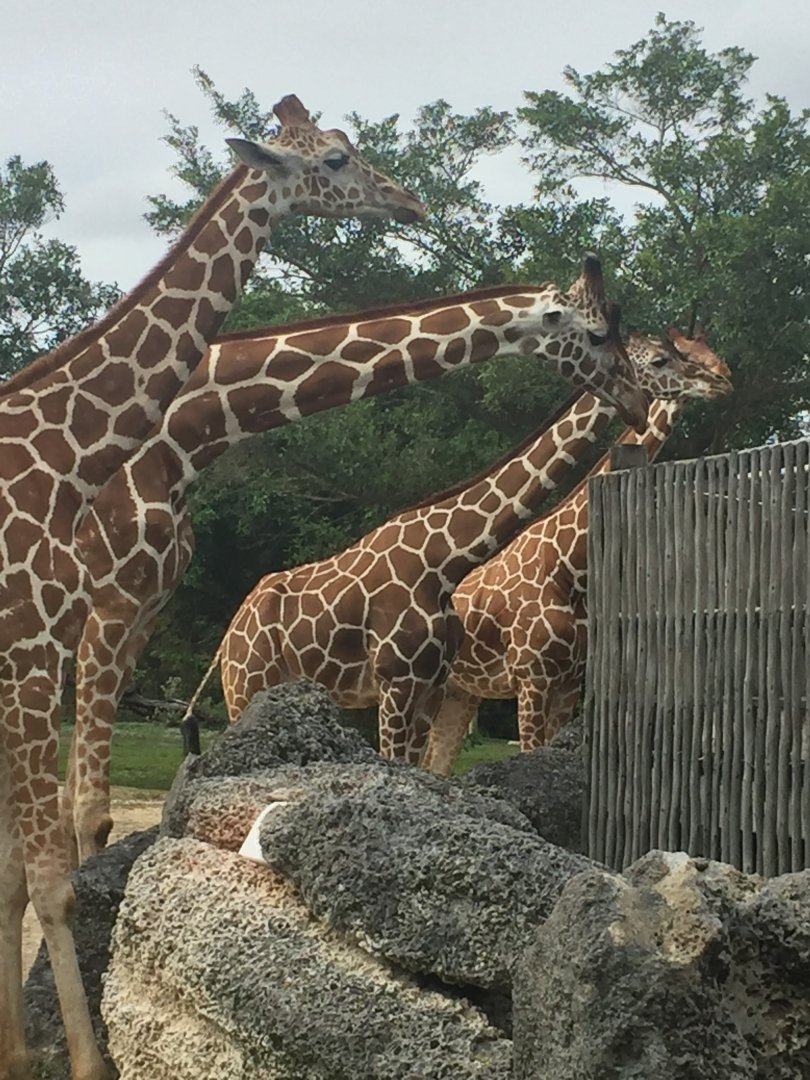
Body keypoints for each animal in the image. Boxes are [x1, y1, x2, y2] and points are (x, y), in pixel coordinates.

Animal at [0, 96, 423, 1080]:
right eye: (335, 158)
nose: (408, 200)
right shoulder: (49, 637)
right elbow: (50, 869)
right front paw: (82, 1061)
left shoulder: (74, 636)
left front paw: (20, 1050)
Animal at [186, 262, 652, 763]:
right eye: (600, 335)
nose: (639, 404)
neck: (446, 560)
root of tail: (228, 640)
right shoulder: (401, 681)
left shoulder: (432, 684)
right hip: (249, 685)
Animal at [421, 329, 733, 775]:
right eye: (677, 355)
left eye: (711, 352)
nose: (724, 379)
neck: (568, 565)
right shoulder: (532, 678)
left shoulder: (570, 680)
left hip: (462, 691)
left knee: (436, 762)